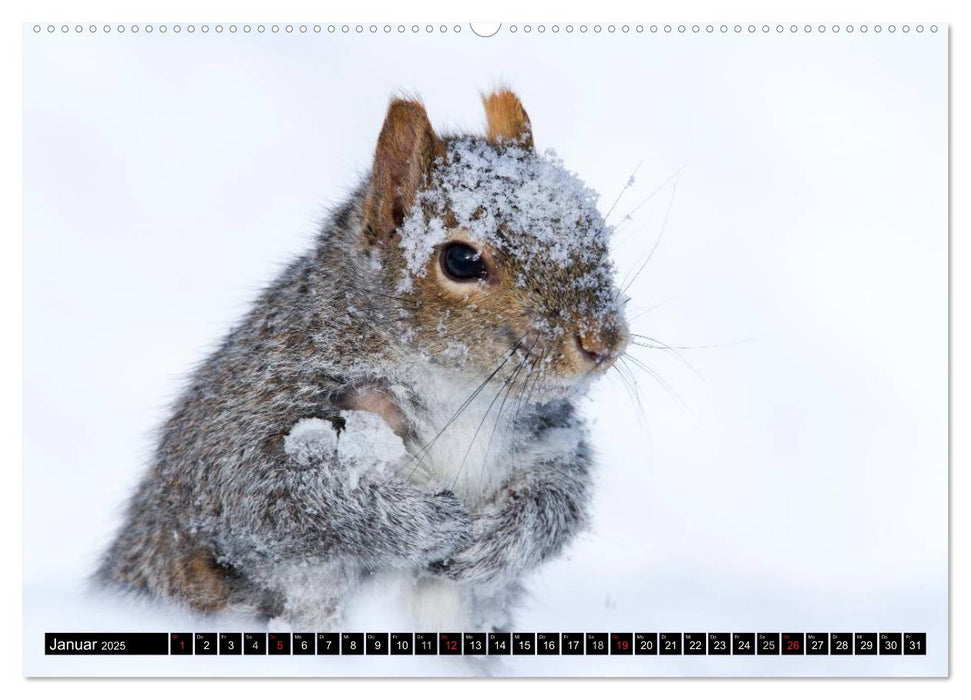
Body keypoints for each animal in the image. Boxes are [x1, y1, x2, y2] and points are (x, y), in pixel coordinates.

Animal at [95, 90, 632, 632]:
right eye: (461, 260)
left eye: (595, 230)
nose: (603, 342)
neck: (460, 390)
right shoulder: (251, 414)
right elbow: (277, 497)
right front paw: (432, 525)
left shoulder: (547, 432)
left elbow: (561, 492)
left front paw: (501, 539)